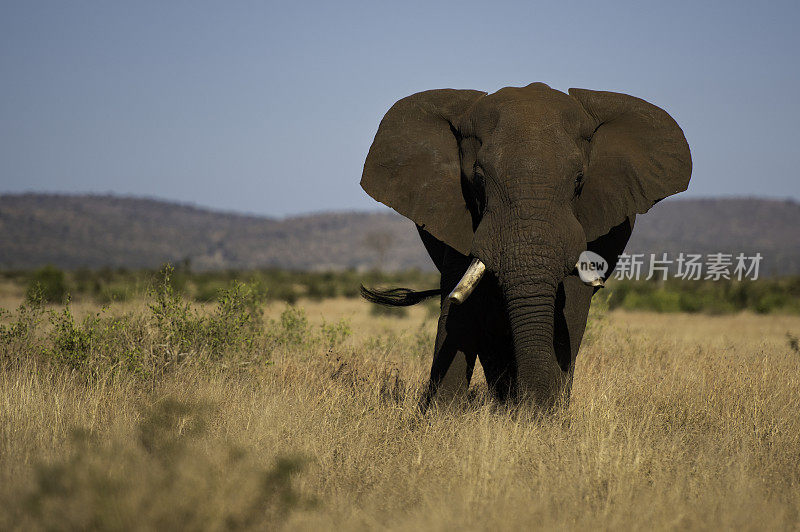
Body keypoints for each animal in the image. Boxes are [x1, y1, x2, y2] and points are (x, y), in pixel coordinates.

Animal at [360, 83, 692, 410]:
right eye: (478, 179)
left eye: (579, 180)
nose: (533, 409)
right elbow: (462, 305)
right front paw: (442, 417)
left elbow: (571, 304)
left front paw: (548, 417)